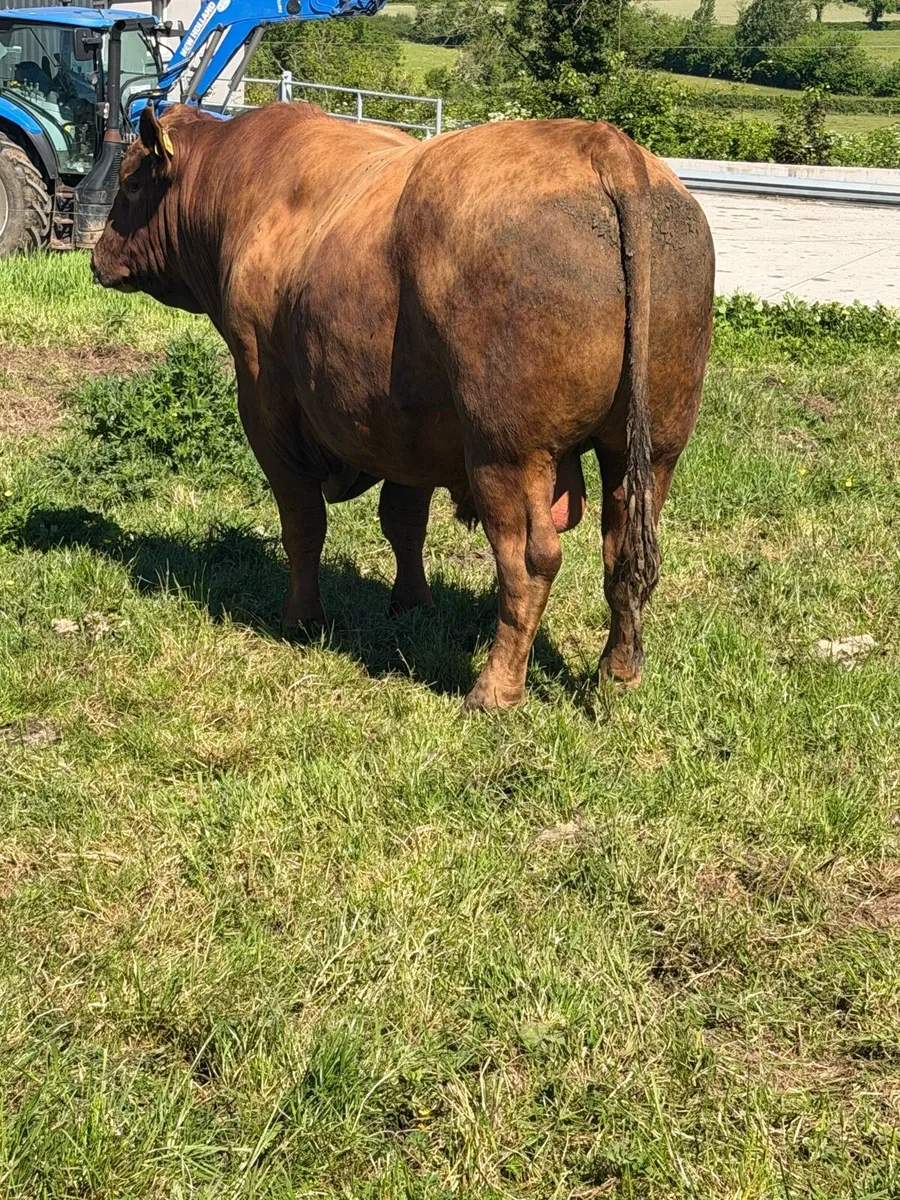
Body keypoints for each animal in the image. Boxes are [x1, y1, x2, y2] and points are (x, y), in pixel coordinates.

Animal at [91, 102, 714, 711]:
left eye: (130, 183)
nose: (98, 256)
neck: (242, 192)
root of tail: (606, 145)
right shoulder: (405, 425)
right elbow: (404, 521)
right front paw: (412, 604)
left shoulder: (267, 411)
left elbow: (302, 523)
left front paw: (301, 618)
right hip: (652, 447)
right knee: (625, 553)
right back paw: (618, 674)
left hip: (507, 452)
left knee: (530, 561)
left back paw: (494, 691)